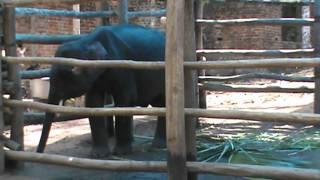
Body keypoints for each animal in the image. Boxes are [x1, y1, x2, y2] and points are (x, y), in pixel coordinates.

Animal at [37, 23, 166, 156]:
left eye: (64, 76)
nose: (39, 152)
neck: (87, 41)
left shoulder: (123, 66)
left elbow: (125, 101)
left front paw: (121, 153)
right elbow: (93, 103)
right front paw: (98, 154)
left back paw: (158, 146)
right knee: (161, 104)